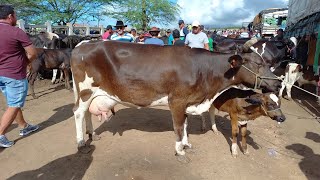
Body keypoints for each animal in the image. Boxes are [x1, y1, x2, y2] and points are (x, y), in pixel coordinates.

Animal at [70, 40, 280, 160]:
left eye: (267, 62)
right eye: (258, 63)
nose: (278, 83)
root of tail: (81, 45)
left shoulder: (188, 101)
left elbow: (185, 124)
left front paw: (187, 144)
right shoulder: (177, 101)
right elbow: (178, 127)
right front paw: (180, 151)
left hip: (90, 93)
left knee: (86, 112)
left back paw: (92, 135)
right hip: (86, 90)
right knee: (78, 113)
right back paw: (81, 144)